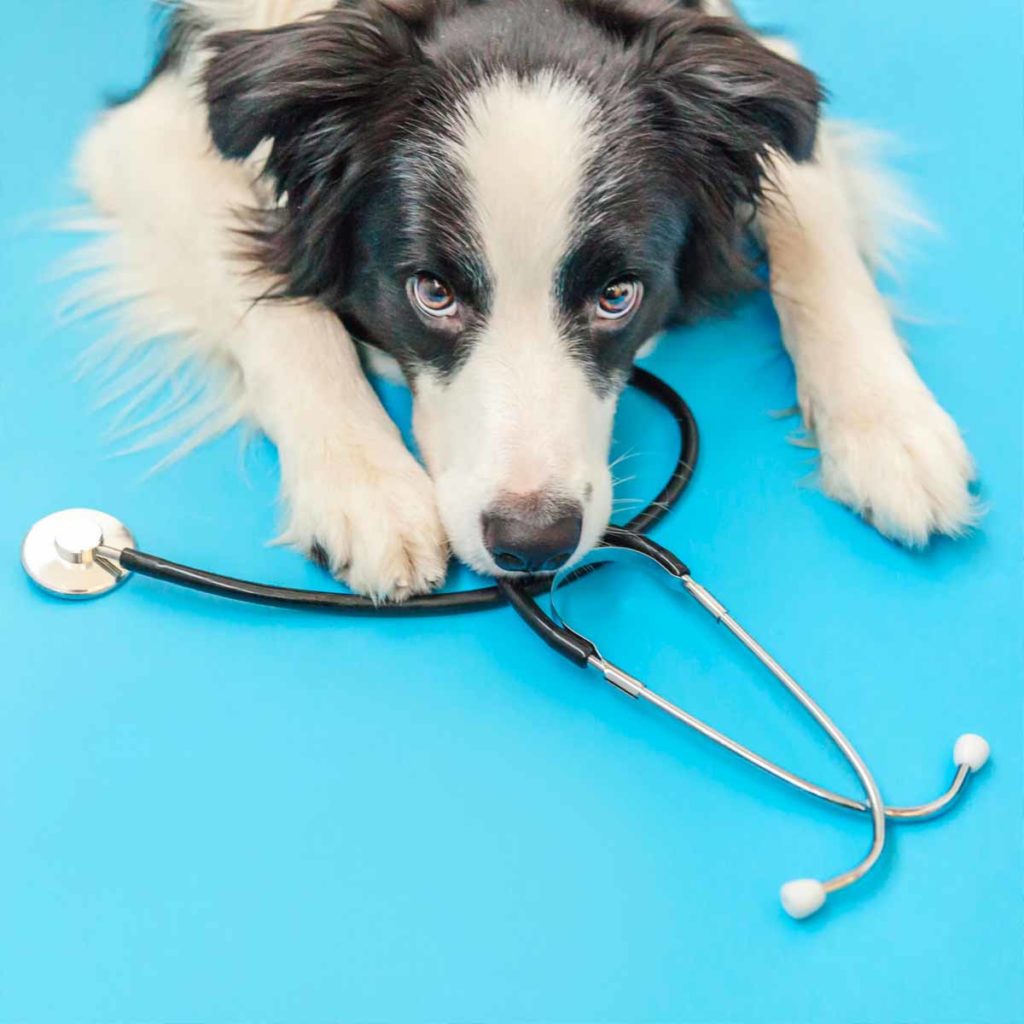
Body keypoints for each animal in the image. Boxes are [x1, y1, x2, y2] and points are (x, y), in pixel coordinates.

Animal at [72, 0, 974, 598]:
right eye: (432, 292)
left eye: (618, 296)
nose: (533, 545)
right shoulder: (144, 132)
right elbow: (274, 301)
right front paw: (365, 487)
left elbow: (814, 233)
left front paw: (890, 429)